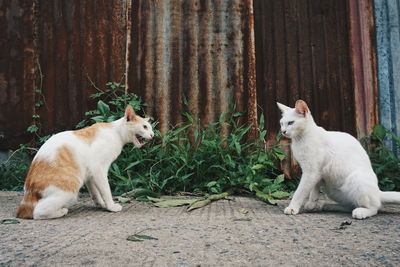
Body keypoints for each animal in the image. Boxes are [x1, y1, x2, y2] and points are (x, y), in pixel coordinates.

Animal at [16, 105, 153, 221]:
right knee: (37, 213)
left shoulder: (90, 175)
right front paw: (111, 206)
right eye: (144, 127)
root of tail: (27, 196)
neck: (115, 133)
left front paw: (102, 205)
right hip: (71, 190)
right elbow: (106, 190)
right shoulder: (99, 169)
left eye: (150, 128)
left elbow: (95, 193)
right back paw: (61, 211)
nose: (152, 135)